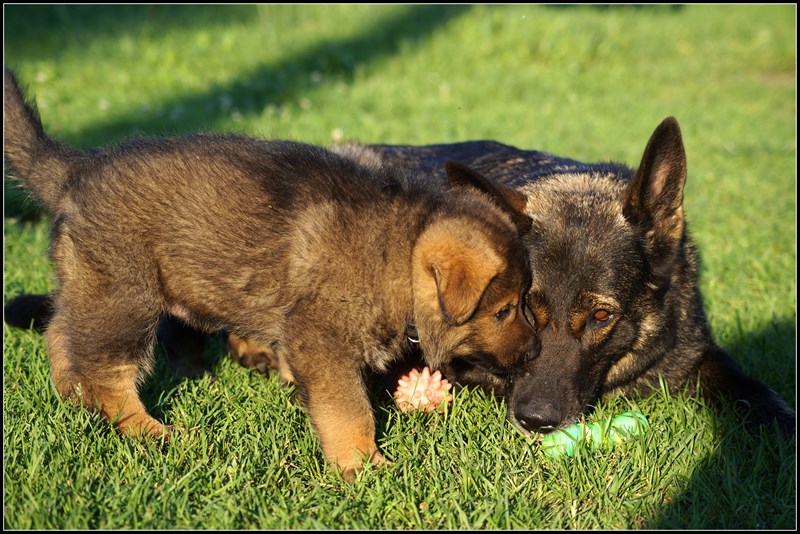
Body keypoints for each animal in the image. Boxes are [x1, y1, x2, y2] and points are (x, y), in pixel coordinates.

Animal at [3, 68, 536, 482]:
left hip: (88, 285)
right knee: (106, 373)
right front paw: (363, 466)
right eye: (504, 310)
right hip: (125, 296)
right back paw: (149, 430)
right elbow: (350, 411)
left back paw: (75, 402)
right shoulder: (323, 342)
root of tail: (76, 170)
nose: (533, 351)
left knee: (62, 338)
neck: (399, 256)